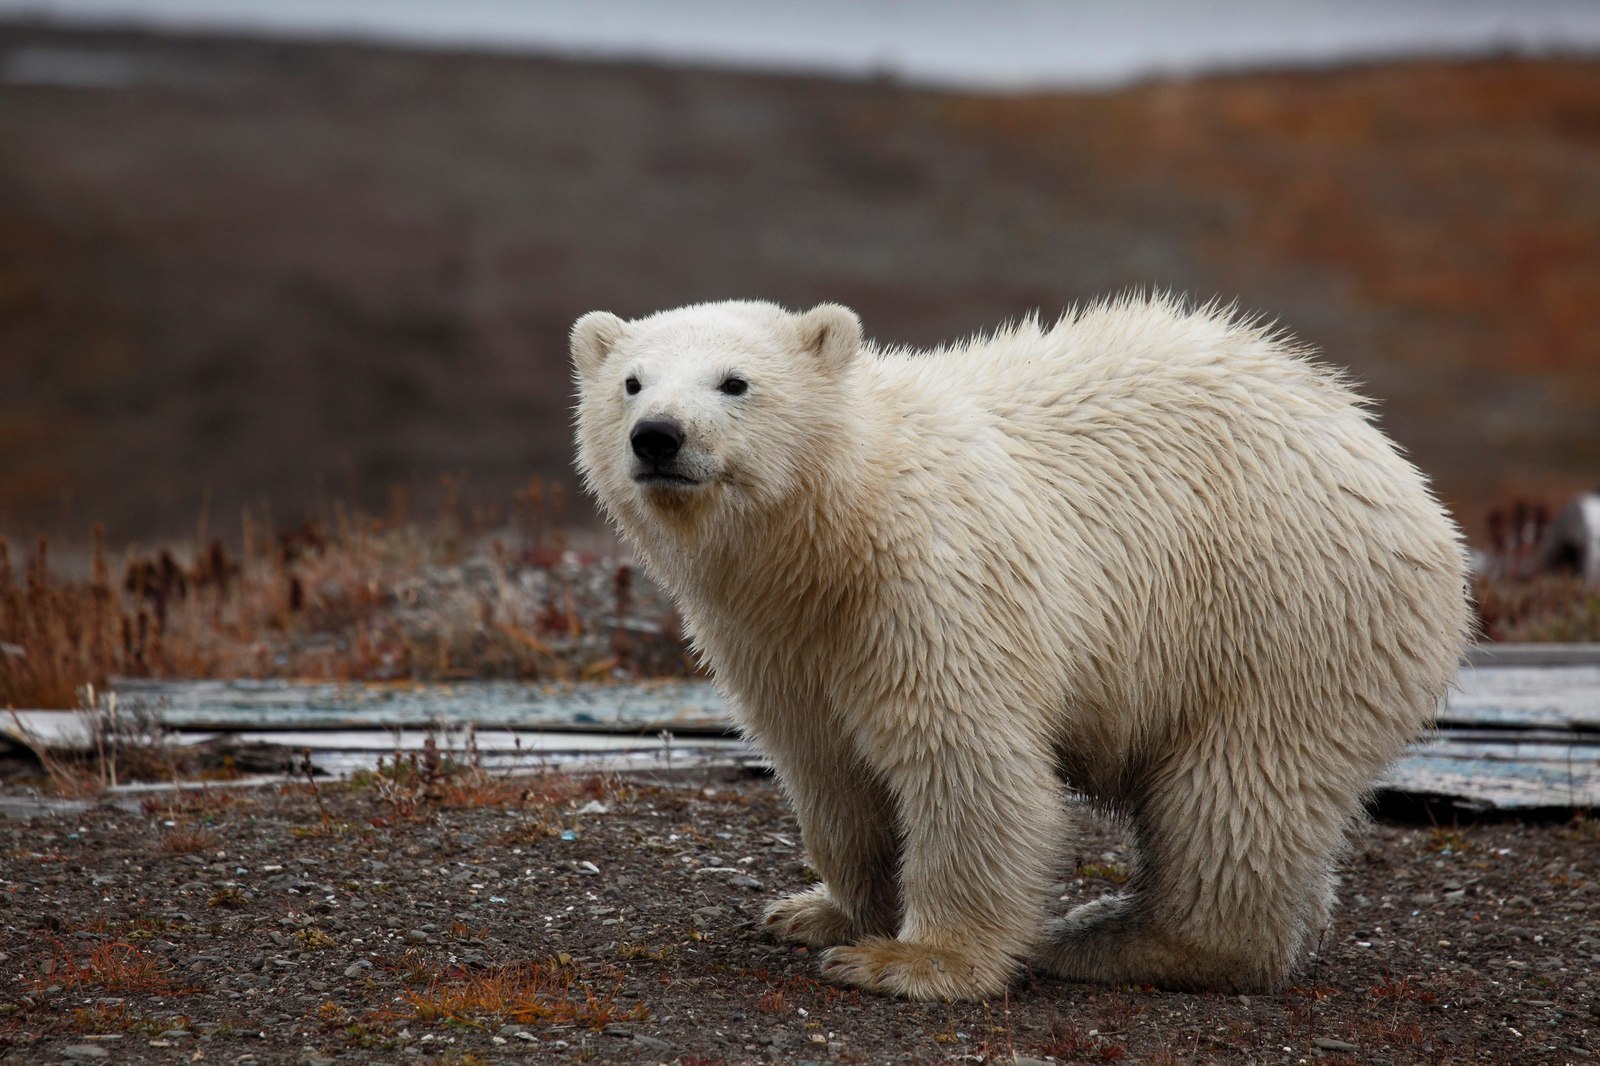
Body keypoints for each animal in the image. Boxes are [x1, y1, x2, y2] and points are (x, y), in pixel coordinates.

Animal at [569, 296, 1465, 998]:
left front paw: (915, 960)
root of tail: (1401, 478)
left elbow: (965, 758)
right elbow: (824, 767)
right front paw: (816, 910)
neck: (838, 526)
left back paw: (1116, 939)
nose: (657, 436)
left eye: (735, 382)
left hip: (1283, 616)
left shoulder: (934, 584)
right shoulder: (771, 636)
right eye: (632, 382)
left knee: (1238, 794)